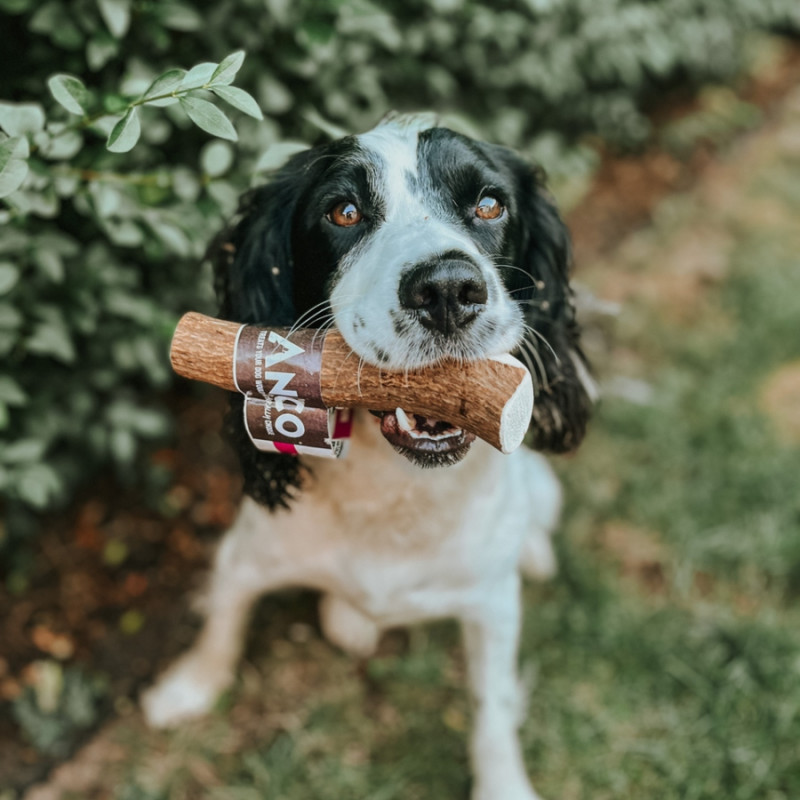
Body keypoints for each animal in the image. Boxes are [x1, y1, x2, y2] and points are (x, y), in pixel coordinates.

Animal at [142, 112, 592, 800]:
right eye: (344, 212)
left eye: (490, 204)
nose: (447, 289)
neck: (395, 490)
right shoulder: (248, 550)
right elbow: (224, 617)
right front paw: (188, 687)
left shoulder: (492, 608)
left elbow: (491, 703)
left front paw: (503, 784)